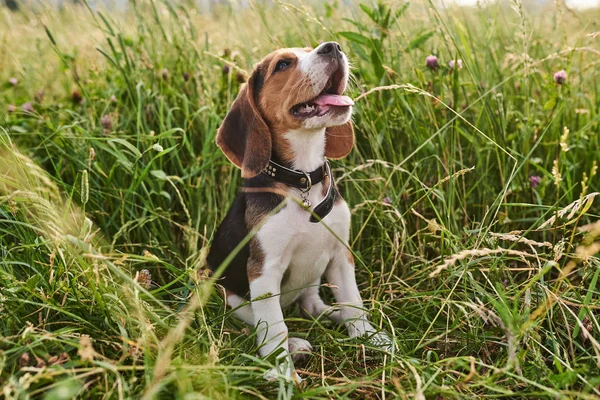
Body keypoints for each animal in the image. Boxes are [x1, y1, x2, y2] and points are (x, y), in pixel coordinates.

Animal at [209, 42, 392, 382]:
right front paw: (282, 368)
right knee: (260, 320)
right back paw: (295, 344)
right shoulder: (263, 271)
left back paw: (333, 314)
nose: (333, 46)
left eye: (310, 48)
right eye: (282, 65)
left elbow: (354, 301)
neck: (303, 178)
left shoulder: (341, 254)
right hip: (229, 294)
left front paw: (368, 336)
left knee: (311, 305)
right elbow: (274, 325)